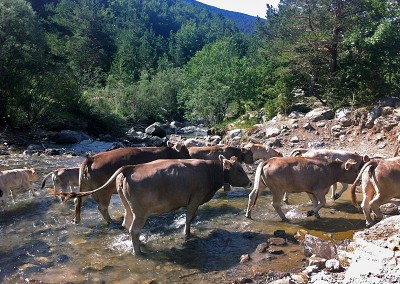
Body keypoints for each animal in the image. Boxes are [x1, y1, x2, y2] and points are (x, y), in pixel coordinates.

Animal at [54, 156, 252, 254]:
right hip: (140, 212)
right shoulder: (195, 199)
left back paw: (140, 243)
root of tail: (130, 167)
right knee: (133, 228)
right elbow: (189, 218)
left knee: (127, 224)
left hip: (129, 208)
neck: (209, 171)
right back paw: (138, 251)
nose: (250, 182)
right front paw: (187, 234)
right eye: (239, 169)